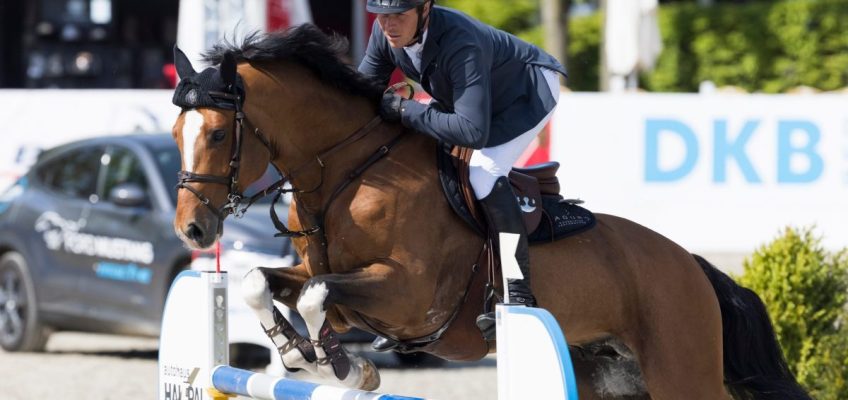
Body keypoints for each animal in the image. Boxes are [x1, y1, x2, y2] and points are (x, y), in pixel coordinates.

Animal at [169, 25, 812, 400]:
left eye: (220, 133)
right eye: (177, 131)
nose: (193, 229)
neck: (348, 172)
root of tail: (693, 266)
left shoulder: (410, 296)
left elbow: (314, 295)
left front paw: (344, 368)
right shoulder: (331, 280)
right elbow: (261, 282)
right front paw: (300, 355)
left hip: (683, 369)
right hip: (611, 375)